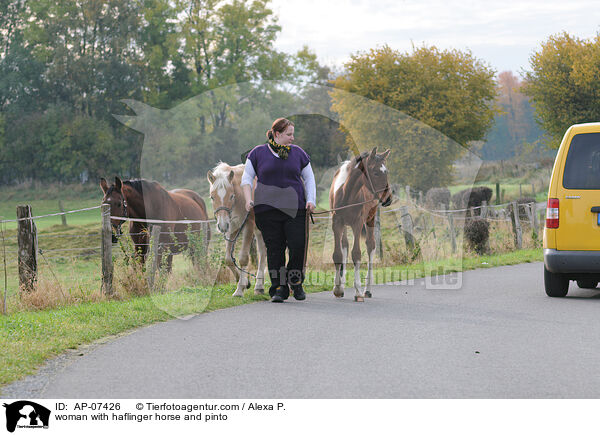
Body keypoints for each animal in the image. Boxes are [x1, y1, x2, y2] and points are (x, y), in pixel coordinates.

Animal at [207, 162, 266, 298]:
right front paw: (245, 282)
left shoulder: (248, 225)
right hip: (259, 230)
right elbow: (228, 259)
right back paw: (259, 287)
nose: (222, 225)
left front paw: (239, 289)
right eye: (212, 197)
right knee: (262, 252)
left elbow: (243, 258)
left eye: (231, 196)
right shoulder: (232, 228)